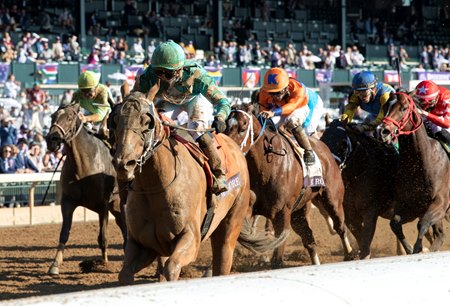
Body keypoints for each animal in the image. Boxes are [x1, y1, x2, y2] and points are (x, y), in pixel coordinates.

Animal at [45, 103, 125, 274]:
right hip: (115, 206)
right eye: (52, 116)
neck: (83, 166)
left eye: (69, 118)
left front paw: (104, 263)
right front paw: (55, 264)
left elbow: (103, 237)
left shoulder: (103, 204)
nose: (51, 139)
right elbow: (64, 233)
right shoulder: (68, 201)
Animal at [111, 84, 282, 284]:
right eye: (115, 121)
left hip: (230, 225)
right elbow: (125, 273)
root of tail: (236, 148)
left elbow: (171, 267)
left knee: (222, 260)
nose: (124, 163)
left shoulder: (191, 238)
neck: (156, 187)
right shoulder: (142, 244)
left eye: (147, 122)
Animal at [227, 104, 354, 266]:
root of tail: (325, 149)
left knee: (340, 227)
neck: (268, 163)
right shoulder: (252, 207)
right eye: (225, 124)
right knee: (309, 239)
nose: (228, 148)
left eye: (243, 126)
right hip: (299, 212)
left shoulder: (282, 213)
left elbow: (278, 255)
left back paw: (350, 253)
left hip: (332, 199)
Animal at [322, 119, 400, 258]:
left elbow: (365, 241)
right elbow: (360, 238)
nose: (331, 168)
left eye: (343, 144)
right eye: (322, 140)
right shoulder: (350, 214)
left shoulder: (370, 212)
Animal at [380, 92, 450, 253]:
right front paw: (410, 249)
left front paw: (418, 248)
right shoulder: (411, 205)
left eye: (404, 108)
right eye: (385, 107)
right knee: (440, 235)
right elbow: (395, 223)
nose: (383, 132)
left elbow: (423, 223)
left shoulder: (441, 202)